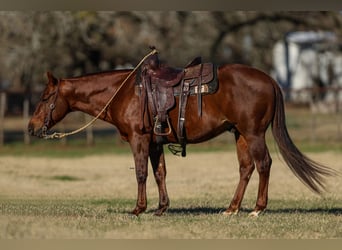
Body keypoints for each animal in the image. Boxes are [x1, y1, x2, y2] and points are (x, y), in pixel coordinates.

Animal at [28, 63, 336, 216]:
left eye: (44, 97)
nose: (31, 127)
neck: (123, 92)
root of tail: (269, 80)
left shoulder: (139, 139)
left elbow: (141, 173)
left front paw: (139, 208)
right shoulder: (155, 143)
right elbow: (160, 173)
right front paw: (161, 208)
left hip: (254, 133)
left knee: (264, 165)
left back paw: (258, 209)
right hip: (240, 134)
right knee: (246, 168)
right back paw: (232, 208)